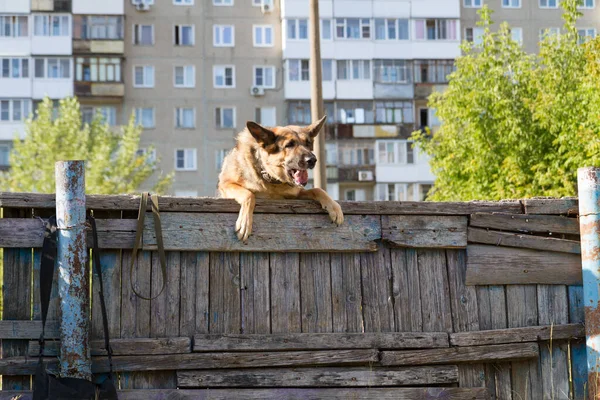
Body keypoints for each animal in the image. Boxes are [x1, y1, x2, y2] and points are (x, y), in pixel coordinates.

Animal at [218, 114, 344, 242]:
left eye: (308, 143)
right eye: (289, 145)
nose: (312, 160)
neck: (271, 180)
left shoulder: (295, 195)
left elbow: (318, 190)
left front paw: (334, 206)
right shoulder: (226, 184)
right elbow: (249, 195)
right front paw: (245, 222)